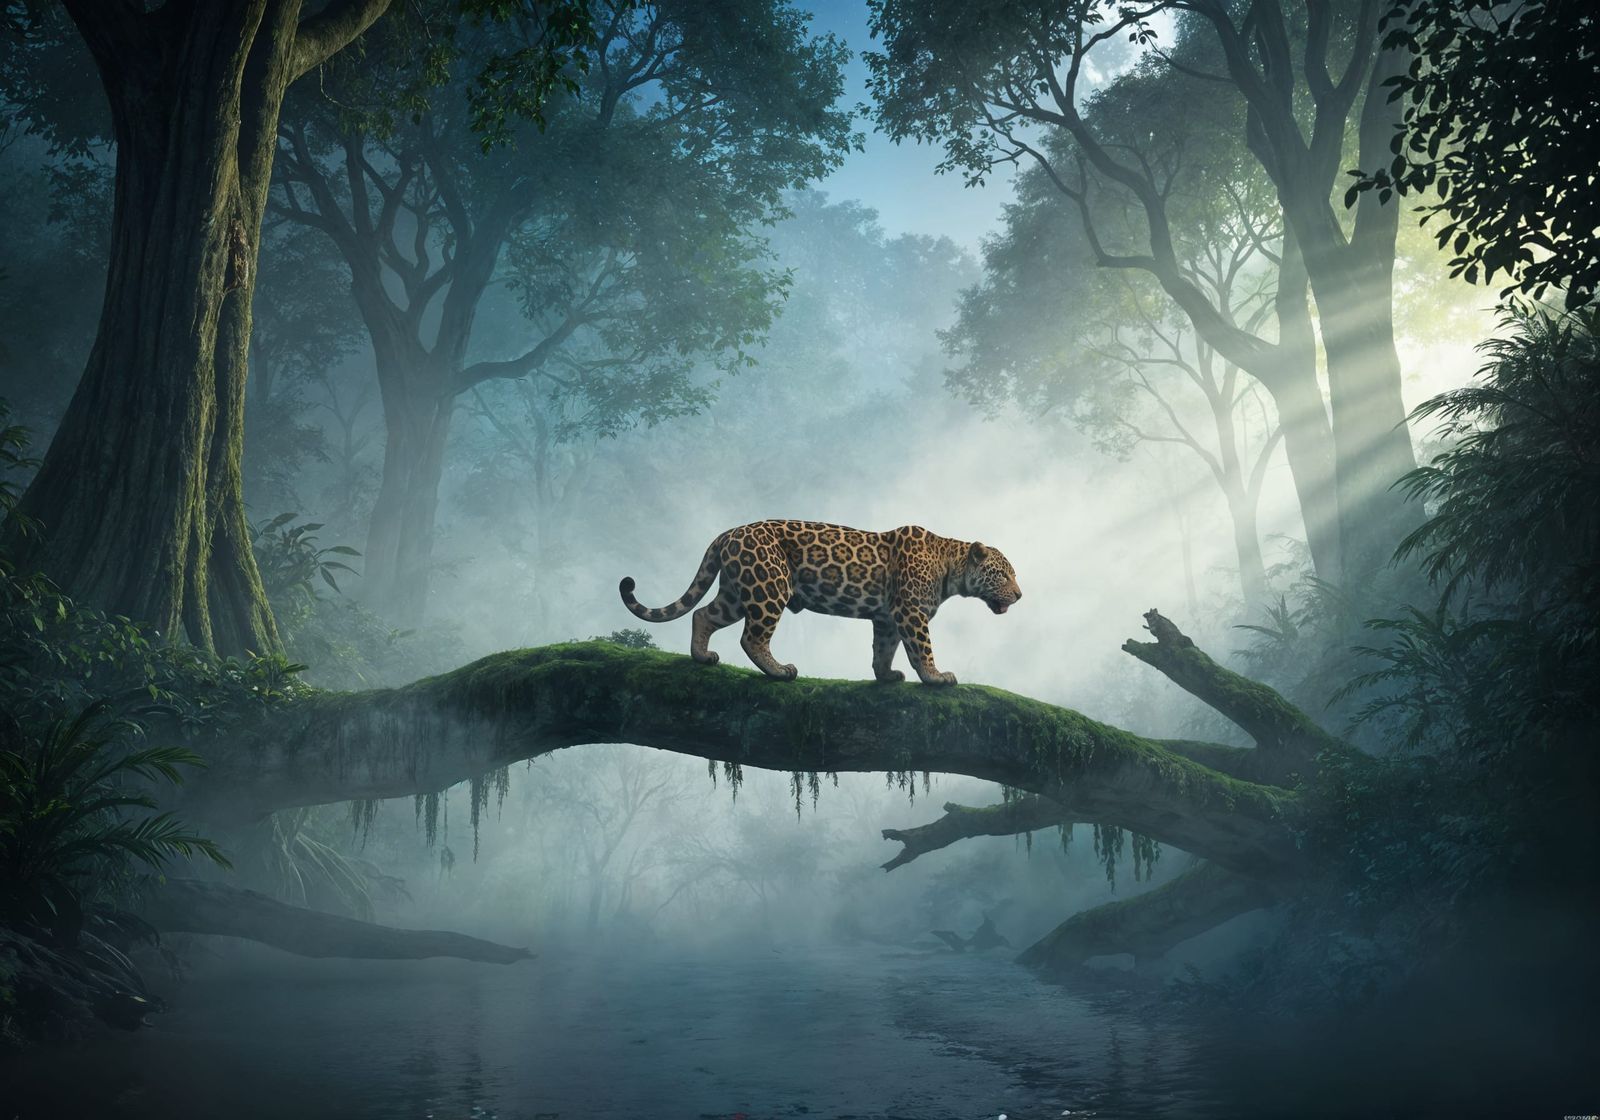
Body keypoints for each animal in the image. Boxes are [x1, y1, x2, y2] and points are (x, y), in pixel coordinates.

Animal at [618, 520, 1021, 685]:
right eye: (1003, 575)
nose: (1019, 595)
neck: (949, 563)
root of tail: (729, 532)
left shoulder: (888, 618)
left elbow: (883, 649)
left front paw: (885, 675)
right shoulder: (910, 613)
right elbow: (921, 648)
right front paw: (936, 677)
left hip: (737, 590)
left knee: (703, 614)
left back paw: (702, 656)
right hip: (769, 586)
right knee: (752, 637)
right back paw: (779, 670)